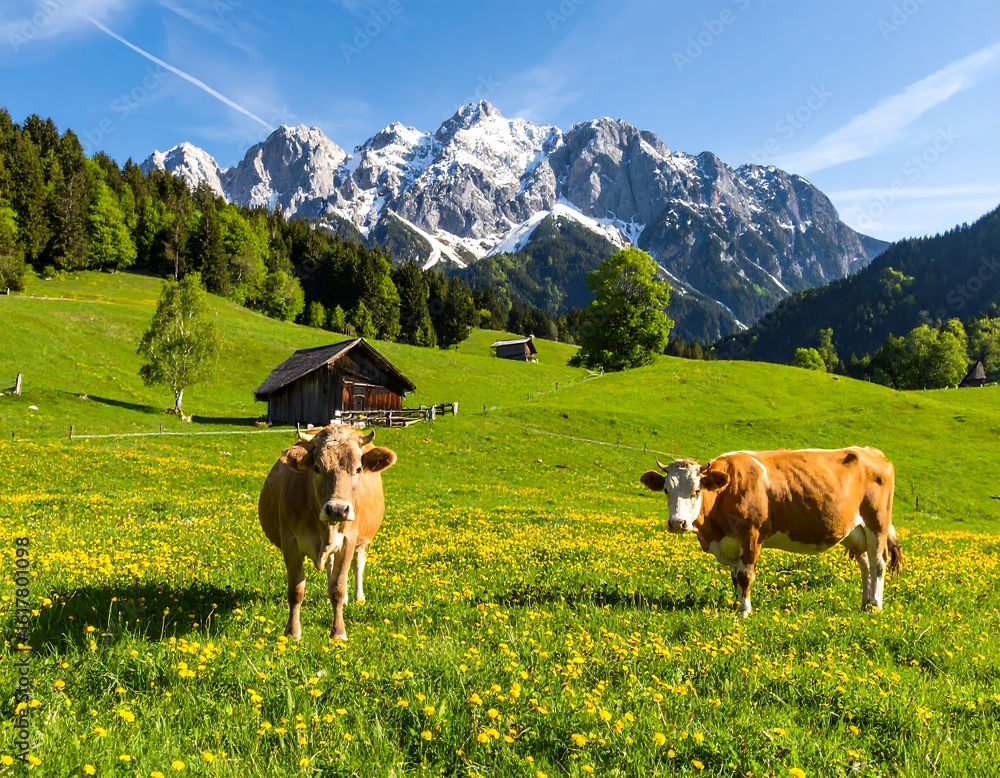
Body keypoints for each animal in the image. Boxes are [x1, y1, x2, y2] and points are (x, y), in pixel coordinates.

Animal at [258, 424, 397, 640]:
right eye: (317, 468)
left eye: (358, 469)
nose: (338, 509)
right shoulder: (290, 541)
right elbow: (296, 589)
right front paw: (292, 632)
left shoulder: (348, 540)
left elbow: (338, 587)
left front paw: (338, 633)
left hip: (362, 541)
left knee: (358, 564)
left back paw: (358, 597)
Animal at [640, 447, 902, 616]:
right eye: (666, 490)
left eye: (696, 490)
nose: (677, 523)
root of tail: (871, 451)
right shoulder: (731, 541)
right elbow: (735, 576)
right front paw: (736, 604)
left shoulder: (751, 535)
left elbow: (745, 575)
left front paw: (745, 611)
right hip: (856, 532)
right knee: (865, 565)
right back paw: (865, 603)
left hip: (877, 523)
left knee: (878, 563)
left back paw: (875, 606)